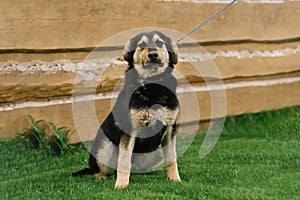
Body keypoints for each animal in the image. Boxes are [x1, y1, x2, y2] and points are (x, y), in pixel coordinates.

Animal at [72, 31, 180, 189]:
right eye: (142, 45)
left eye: (160, 43)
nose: (153, 55)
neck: (152, 85)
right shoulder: (130, 129)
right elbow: (124, 161)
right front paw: (121, 185)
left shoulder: (169, 128)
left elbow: (172, 158)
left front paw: (175, 179)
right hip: (104, 147)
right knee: (101, 169)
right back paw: (101, 177)